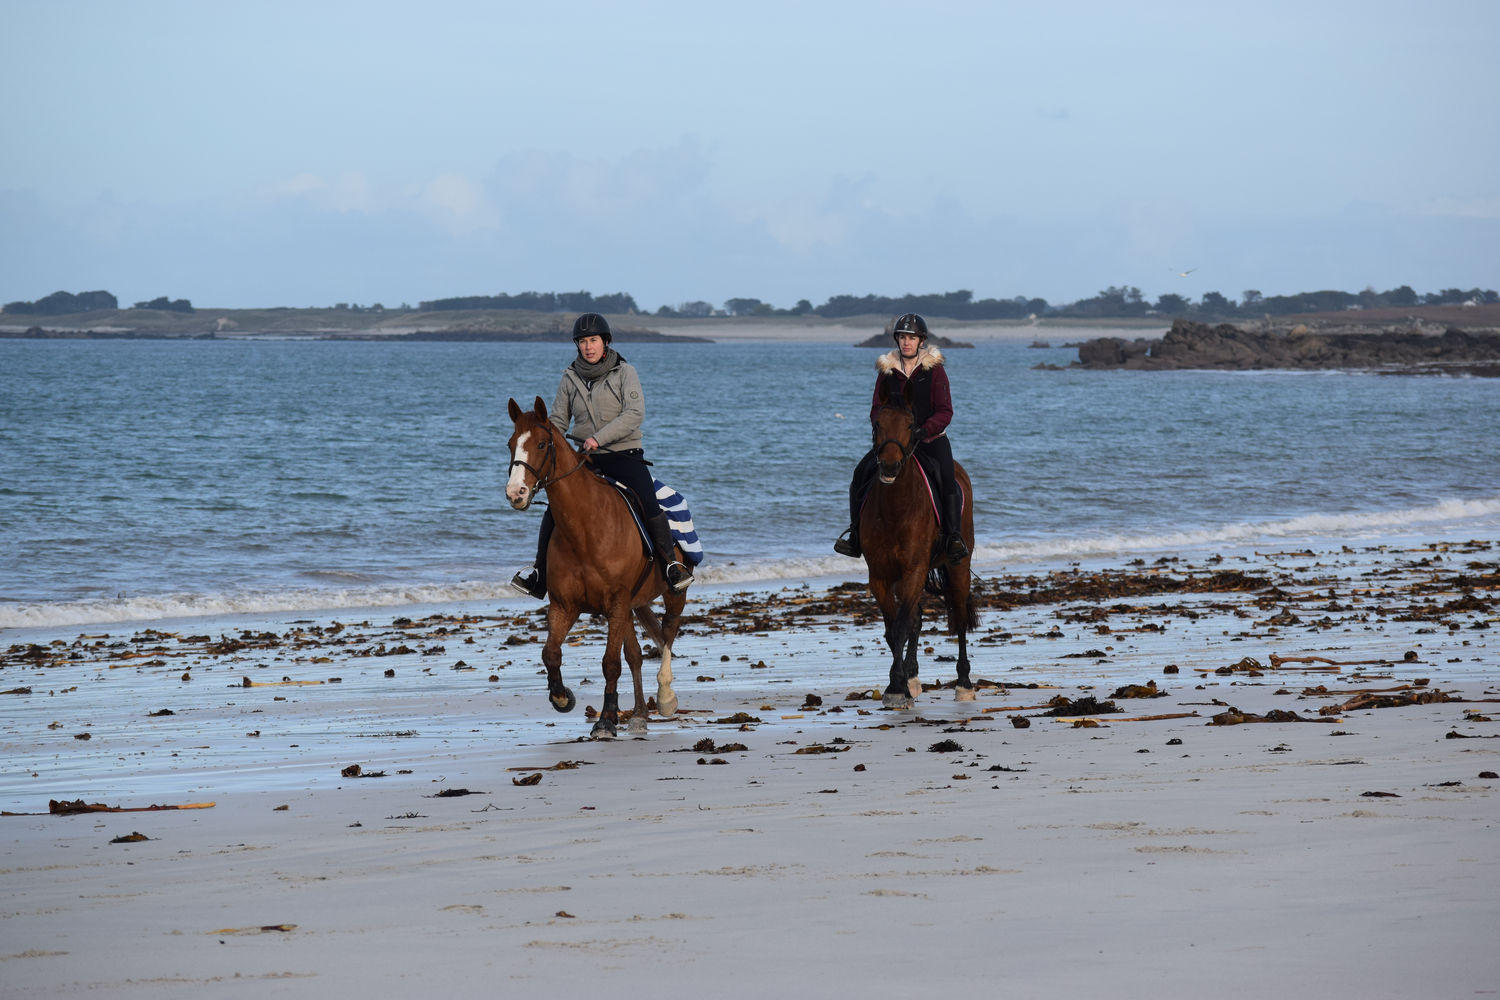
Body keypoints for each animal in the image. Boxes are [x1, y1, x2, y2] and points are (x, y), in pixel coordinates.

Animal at [507, 395, 687, 734]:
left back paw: (666, 697)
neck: (586, 530)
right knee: (636, 655)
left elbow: (610, 663)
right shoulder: (565, 606)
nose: (516, 493)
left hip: (673, 594)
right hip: (631, 606)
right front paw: (562, 698)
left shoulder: (616, 603)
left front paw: (605, 719)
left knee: (668, 634)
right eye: (511, 444)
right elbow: (551, 653)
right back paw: (639, 714)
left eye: (541, 444)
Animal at [858, 374, 984, 710]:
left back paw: (964, 683)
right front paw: (900, 683)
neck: (895, 509)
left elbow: (901, 627)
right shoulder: (880, 575)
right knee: (916, 618)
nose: (889, 466)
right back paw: (913, 678)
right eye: (877, 422)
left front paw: (895, 686)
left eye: (911, 423)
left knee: (959, 617)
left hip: (958, 566)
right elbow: (894, 628)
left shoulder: (914, 570)